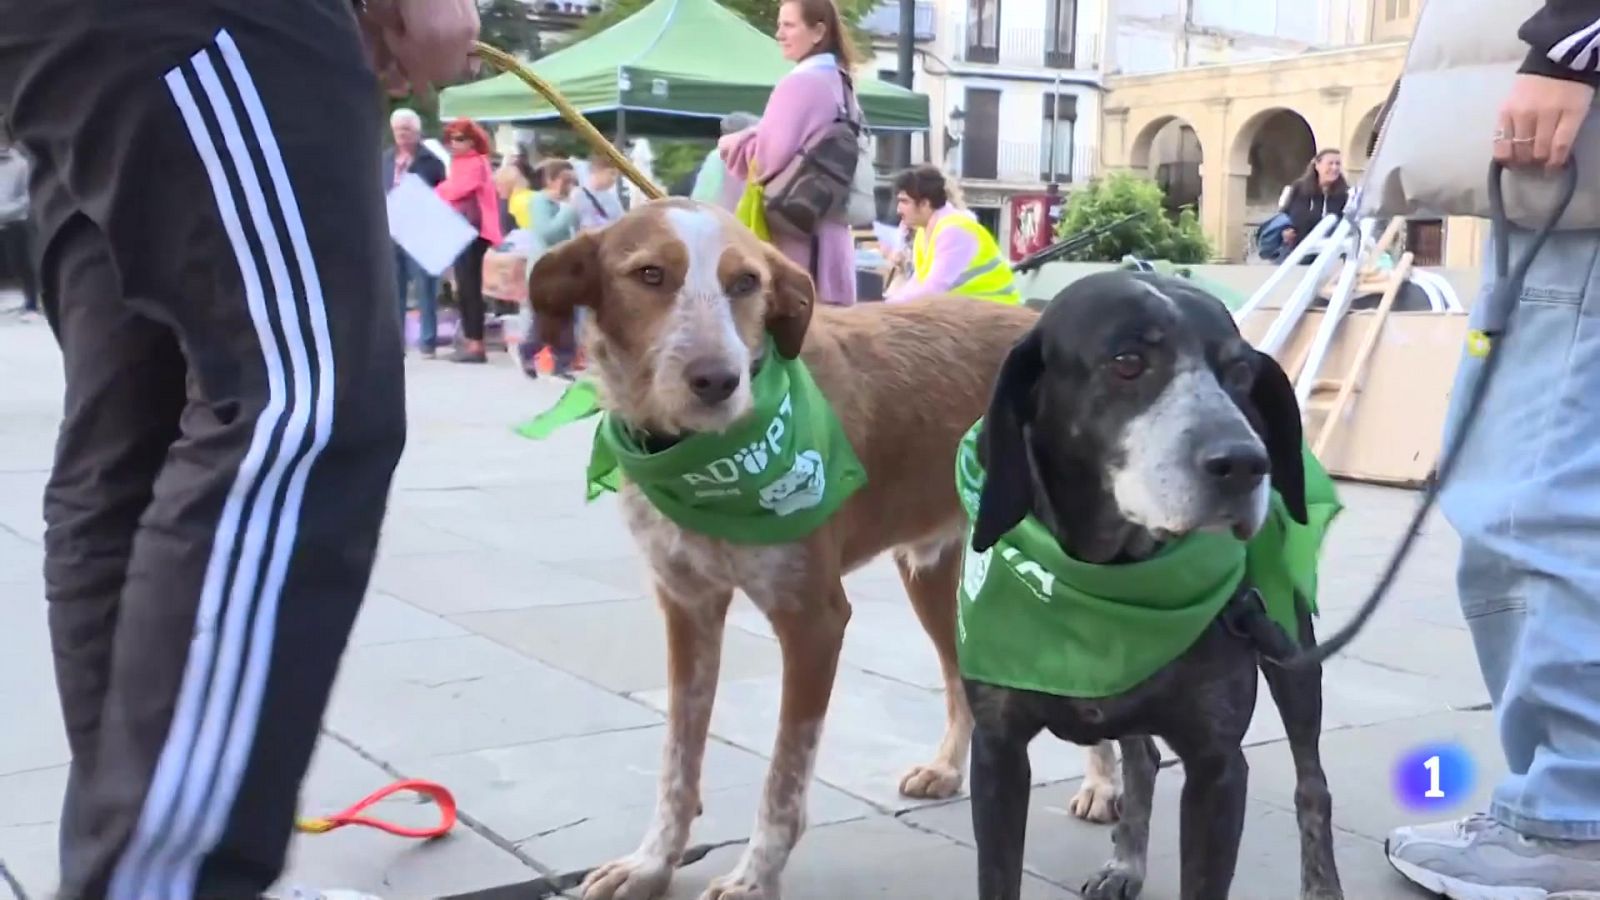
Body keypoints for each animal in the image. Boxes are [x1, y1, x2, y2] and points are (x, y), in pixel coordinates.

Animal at [524, 201, 1113, 896]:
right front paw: (653, 863)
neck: (698, 455)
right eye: (649, 275)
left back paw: (1105, 785)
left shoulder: (813, 620)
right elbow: (677, 761)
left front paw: (754, 878)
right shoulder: (687, 607)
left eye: (746, 283)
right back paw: (948, 768)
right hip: (933, 577)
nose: (717, 381)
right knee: (957, 674)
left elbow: (783, 778)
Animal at [960, 269, 1350, 896]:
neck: (1109, 584)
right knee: (1141, 756)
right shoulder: (998, 751)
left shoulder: (1218, 766)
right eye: (1127, 362)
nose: (1245, 463)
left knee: (1311, 784)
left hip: (1293, 656)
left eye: (1239, 373)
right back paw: (1127, 862)